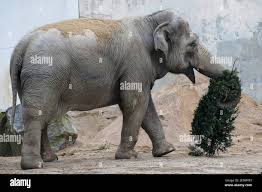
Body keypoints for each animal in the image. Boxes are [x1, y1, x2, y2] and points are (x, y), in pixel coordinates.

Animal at [8, 9, 225, 169]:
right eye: (193, 44)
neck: (149, 20)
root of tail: (21, 46)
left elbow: (146, 106)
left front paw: (166, 151)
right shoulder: (136, 63)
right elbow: (134, 101)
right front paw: (129, 156)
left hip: (37, 79)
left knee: (44, 115)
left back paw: (50, 160)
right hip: (44, 75)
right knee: (37, 114)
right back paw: (35, 165)